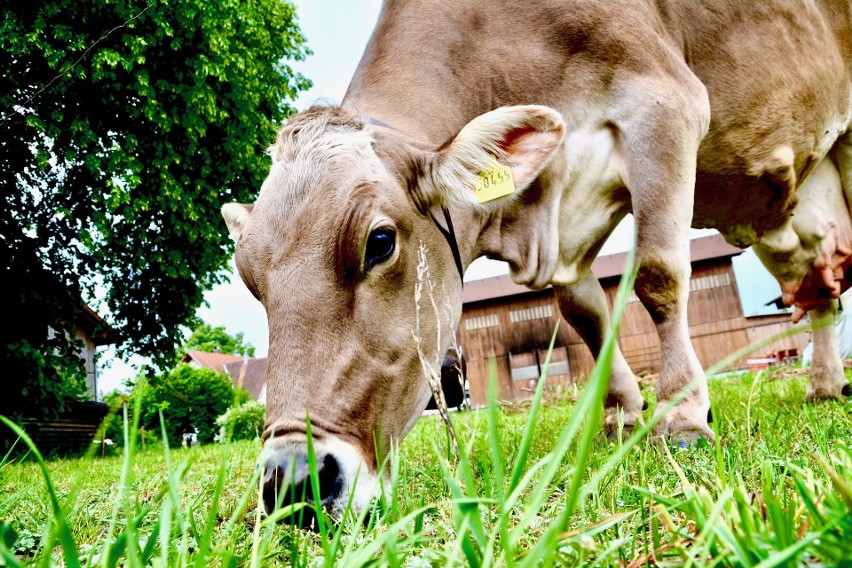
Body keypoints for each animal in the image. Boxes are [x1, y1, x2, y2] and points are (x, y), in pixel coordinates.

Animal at [221, 0, 852, 524]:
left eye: (379, 242)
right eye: (249, 278)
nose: (289, 484)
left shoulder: (665, 108)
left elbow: (657, 275)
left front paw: (682, 417)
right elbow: (584, 313)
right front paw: (622, 416)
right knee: (817, 288)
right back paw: (824, 385)